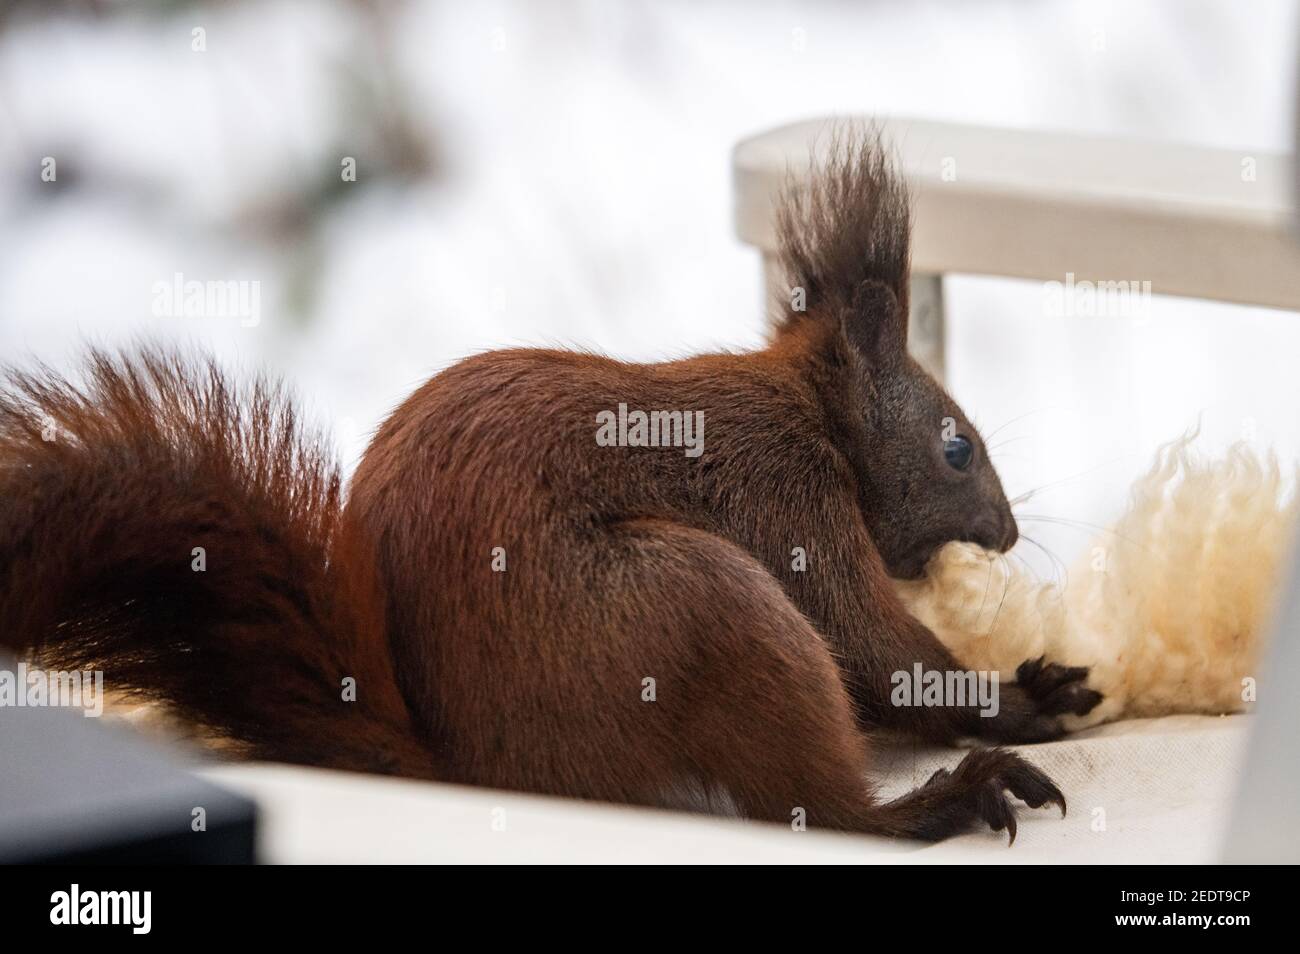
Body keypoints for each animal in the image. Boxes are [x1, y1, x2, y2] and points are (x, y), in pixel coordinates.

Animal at [0, 128, 1097, 842]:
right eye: (956, 448)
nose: (1005, 533)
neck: (811, 414)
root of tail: (472, 768)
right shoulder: (783, 491)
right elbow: (870, 646)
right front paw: (1012, 698)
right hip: (693, 608)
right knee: (817, 810)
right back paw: (944, 799)